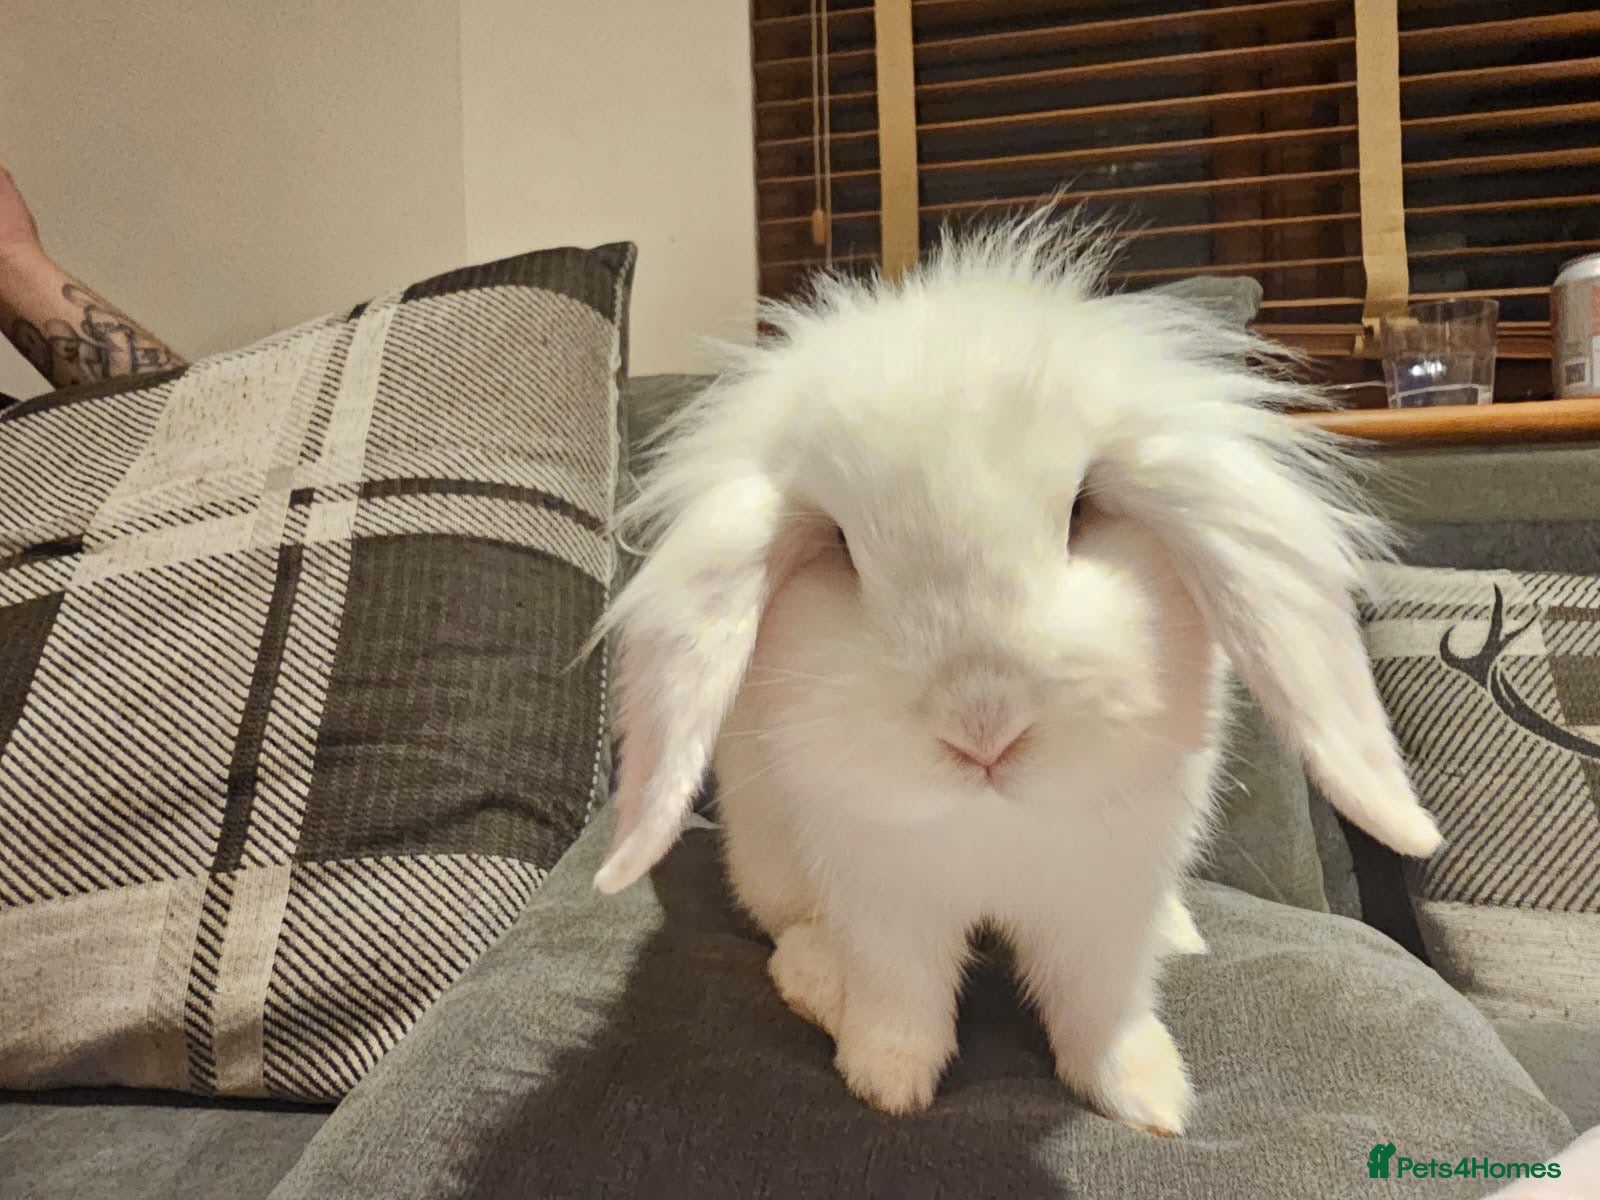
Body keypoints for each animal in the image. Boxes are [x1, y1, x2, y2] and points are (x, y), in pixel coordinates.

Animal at [586, 207, 1442, 1133]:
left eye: (1081, 512)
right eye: (843, 546)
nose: (982, 727)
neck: (991, 827)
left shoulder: (1103, 900)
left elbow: (1101, 1006)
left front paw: (1146, 1098)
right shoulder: (884, 896)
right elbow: (901, 999)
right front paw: (886, 1082)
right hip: (772, 860)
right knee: (794, 931)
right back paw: (813, 980)